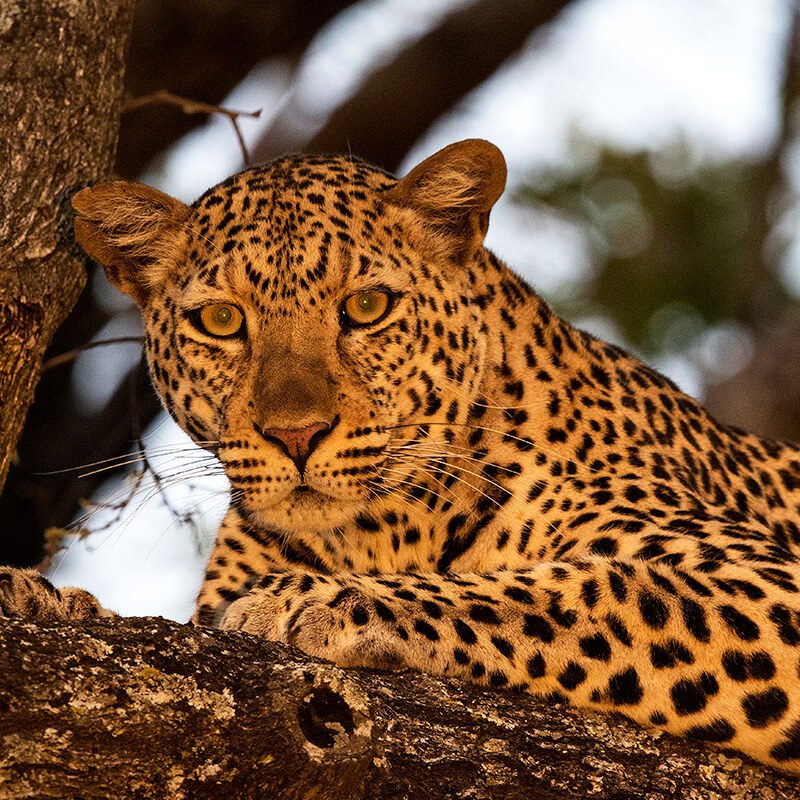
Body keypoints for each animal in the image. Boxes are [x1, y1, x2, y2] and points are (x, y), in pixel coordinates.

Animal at [3, 139, 800, 774]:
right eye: (221, 321)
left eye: (366, 308)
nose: (297, 434)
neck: (377, 529)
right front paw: (46, 601)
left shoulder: (762, 580)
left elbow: (580, 590)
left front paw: (305, 601)